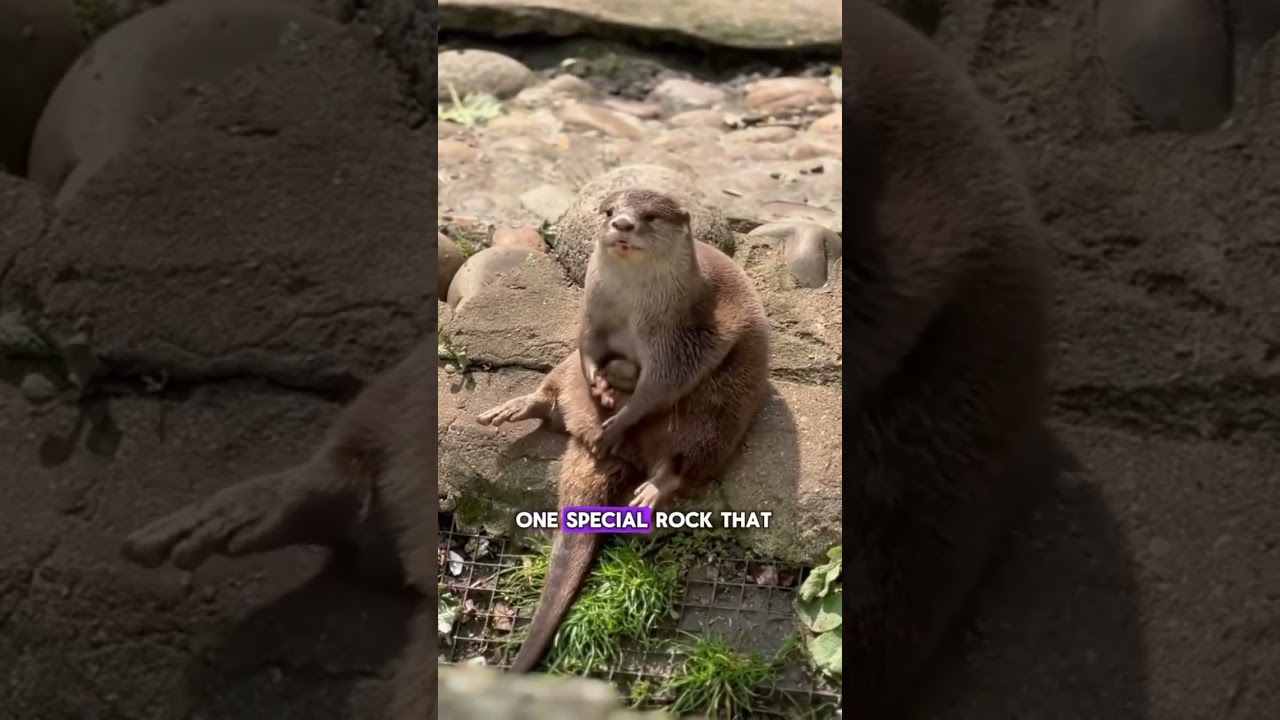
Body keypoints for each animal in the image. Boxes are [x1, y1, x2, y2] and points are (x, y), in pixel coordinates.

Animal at [477, 194, 772, 672]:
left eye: (649, 216)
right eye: (609, 209)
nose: (623, 224)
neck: (635, 312)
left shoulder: (680, 338)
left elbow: (661, 384)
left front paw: (620, 416)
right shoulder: (593, 315)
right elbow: (587, 346)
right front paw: (602, 382)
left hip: (718, 417)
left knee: (685, 457)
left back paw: (651, 484)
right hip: (565, 374)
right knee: (555, 391)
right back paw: (519, 407)